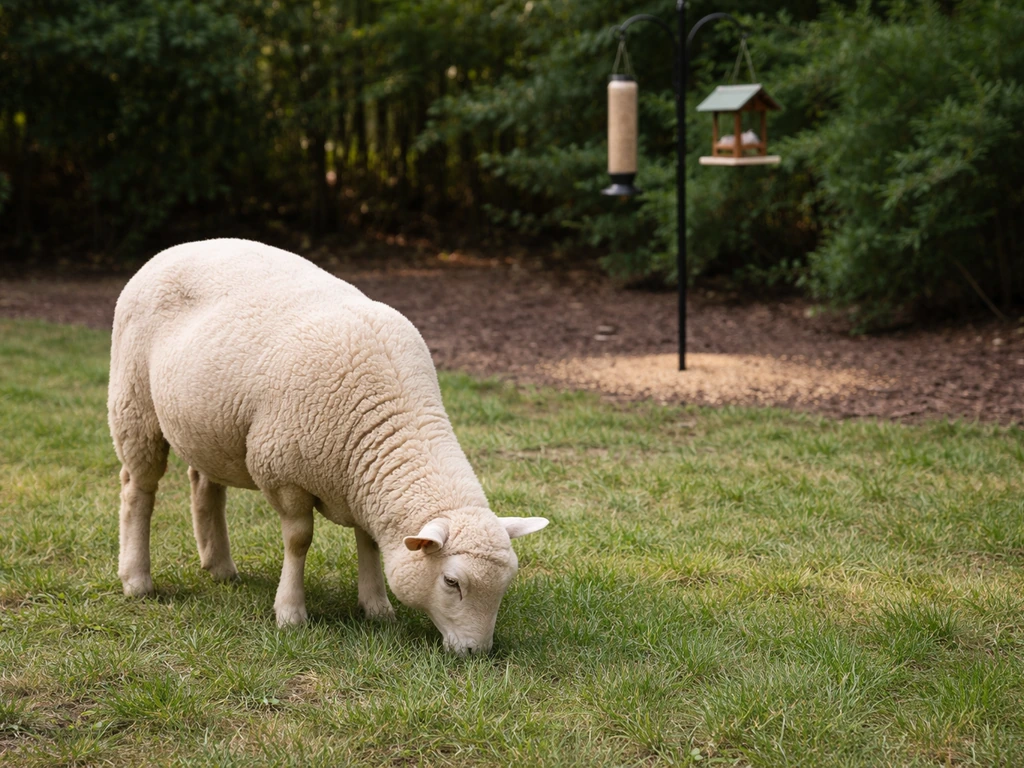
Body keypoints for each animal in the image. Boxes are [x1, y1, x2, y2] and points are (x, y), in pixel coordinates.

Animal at [107, 238, 548, 655]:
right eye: (452, 582)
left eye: (505, 583)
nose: (476, 652)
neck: (388, 416)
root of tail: (179, 248)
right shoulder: (283, 474)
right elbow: (299, 540)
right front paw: (290, 613)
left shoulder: (361, 484)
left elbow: (368, 542)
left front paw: (376, 608)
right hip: (134, 404)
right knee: (137, 489)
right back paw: (137, 580)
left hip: (208, 424)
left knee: (204, 483)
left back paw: (219, 567)